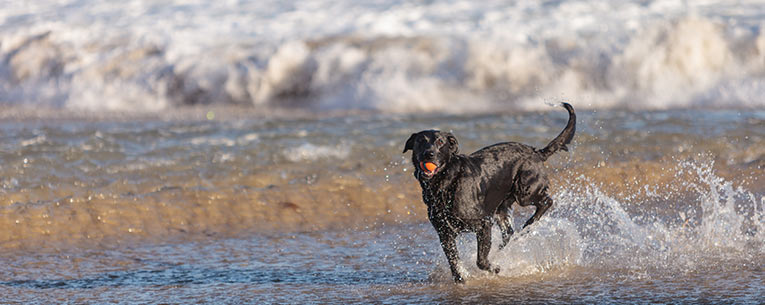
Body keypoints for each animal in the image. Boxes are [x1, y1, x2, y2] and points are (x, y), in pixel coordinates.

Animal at [400, 102, 572, 282]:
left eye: (440, 142)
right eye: (420, 141)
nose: (429, 154)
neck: (446, 182)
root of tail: (536, 152)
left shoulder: (483, 224)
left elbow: (481, 260)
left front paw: (494, 268)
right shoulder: (444, 233)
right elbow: (454, 261)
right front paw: (461, 278)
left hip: (524, 191)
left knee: (546, 201)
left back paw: (529, 225)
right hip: (501, 208)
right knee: (509, 232)